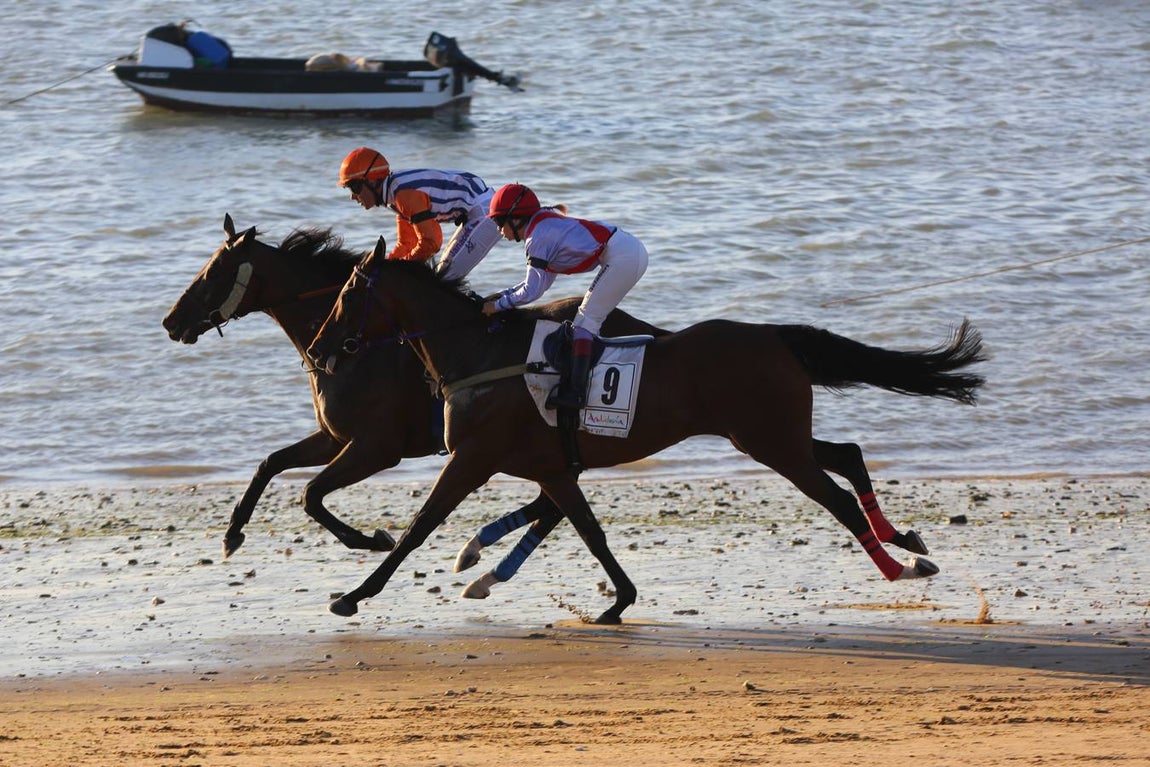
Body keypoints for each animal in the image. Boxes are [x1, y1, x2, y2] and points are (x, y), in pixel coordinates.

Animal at [305, 240, 986, 622]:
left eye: (346, 296)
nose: (321, 351)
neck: (479, 355)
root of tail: (773, 336)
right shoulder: (551, 467)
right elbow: (587, 530)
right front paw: (617, 601)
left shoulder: (473, 458)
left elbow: (419, 528)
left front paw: (354, 594)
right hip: (772, 435)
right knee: (846, 452)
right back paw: (906, 542)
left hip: (772, 443)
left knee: (837, 496)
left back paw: (899, 568)